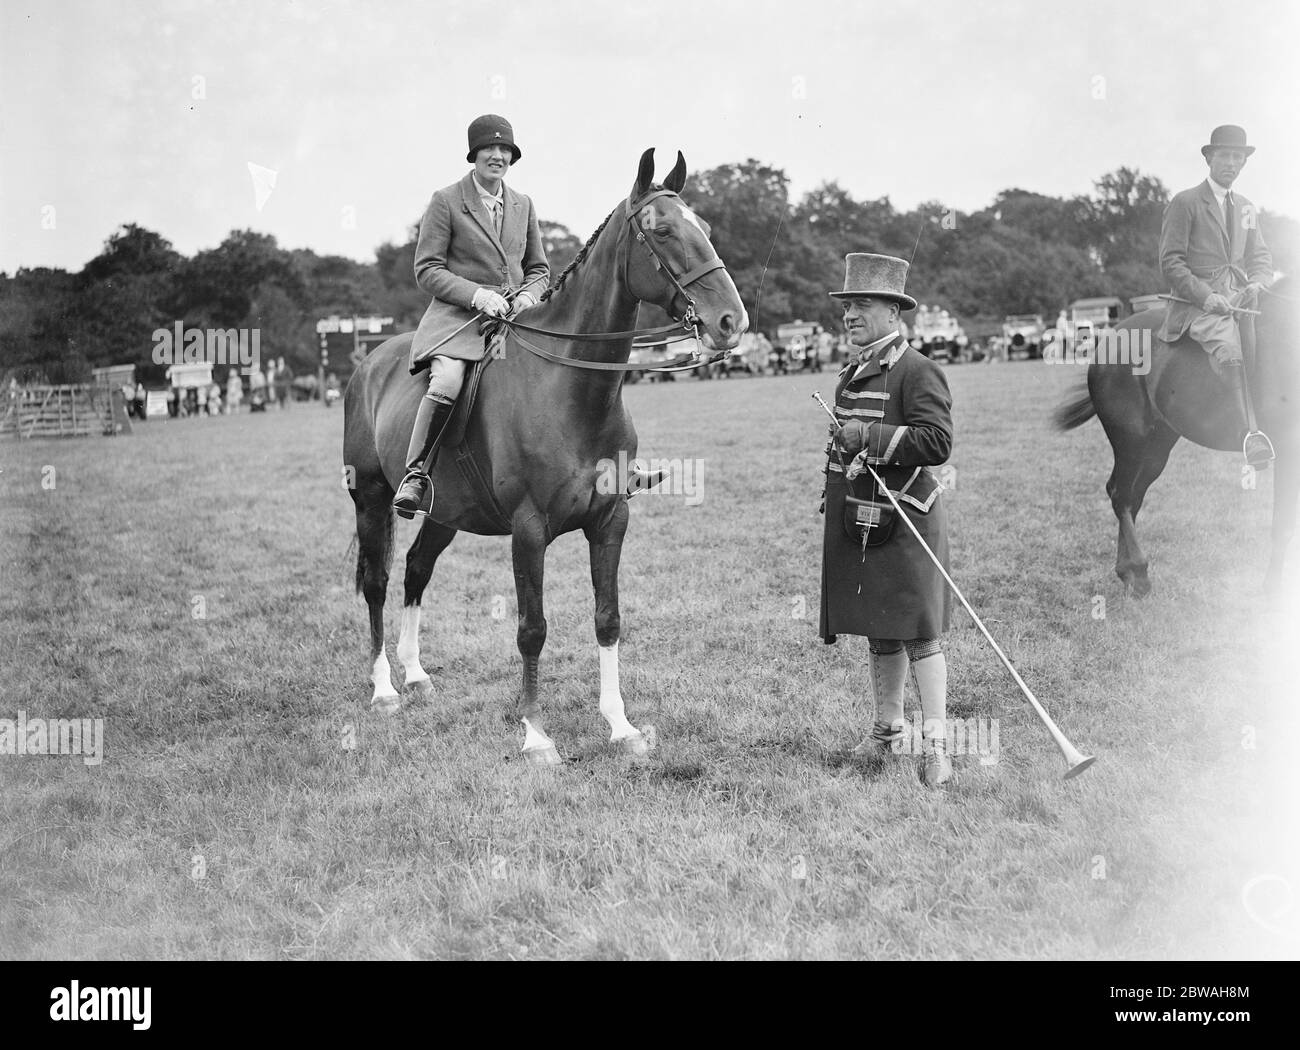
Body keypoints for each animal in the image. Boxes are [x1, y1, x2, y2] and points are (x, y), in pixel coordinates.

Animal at [340, 149, 748, 764]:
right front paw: (535, 734)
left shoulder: (610, 521)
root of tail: (370, 362)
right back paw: (385, 688)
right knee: (378, 580)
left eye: (703, 225)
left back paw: (415, 675)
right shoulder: (529, 530)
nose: (731, 321)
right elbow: (532, 627)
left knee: (416, 569)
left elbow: (608, 618)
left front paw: (620, 726)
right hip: (371, 497)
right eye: (662, 230)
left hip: (445, 512)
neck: (573, 389)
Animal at [1050, 279, 1294, 595]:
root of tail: (1111, 338)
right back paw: (1138, 572)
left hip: (1157, 447)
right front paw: (1272, 591)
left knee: (1131, 496)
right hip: (1131, 441)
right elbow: (1283, 524)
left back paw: (1127, 573)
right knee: (1121, 495)